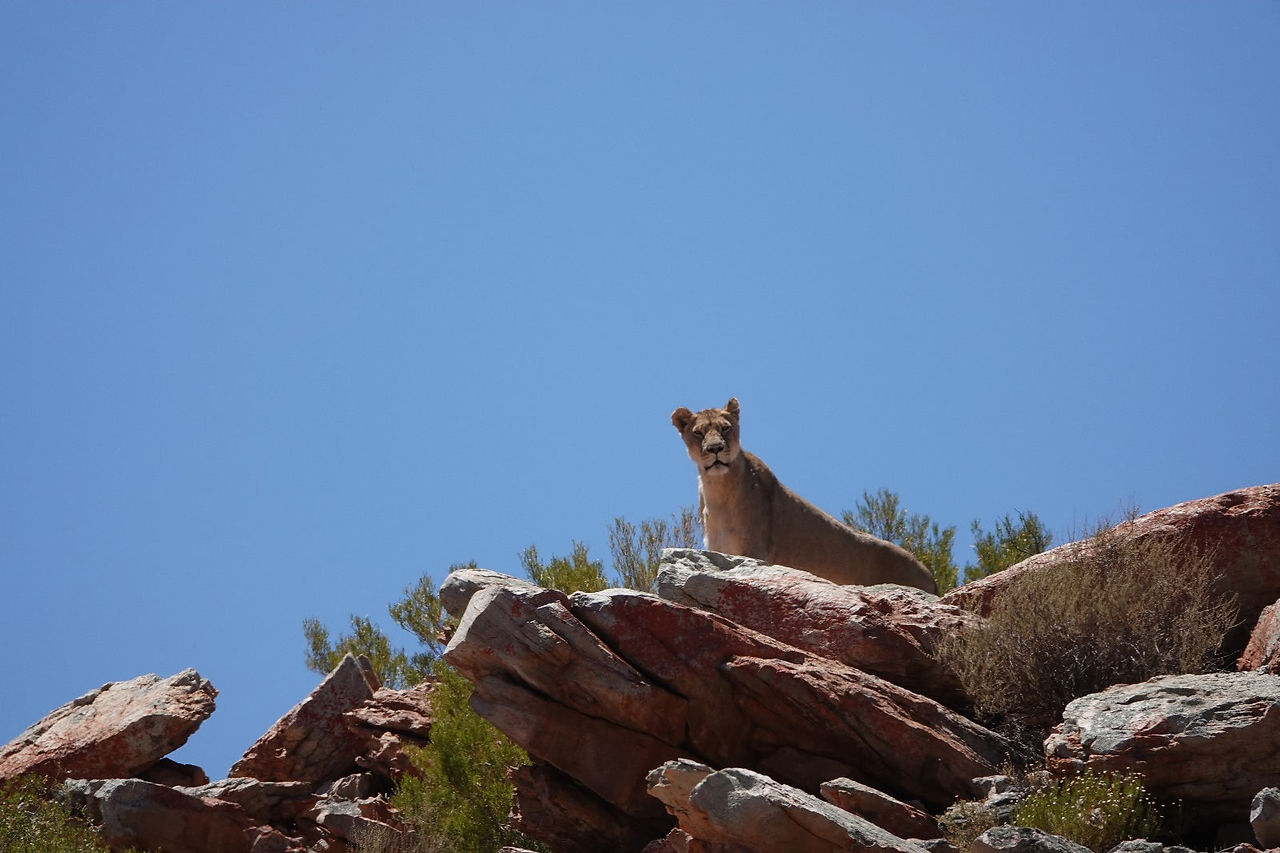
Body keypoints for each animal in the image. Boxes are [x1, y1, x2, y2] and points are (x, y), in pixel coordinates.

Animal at [671, 398, 937, 593]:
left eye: (725, 429)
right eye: (698, 433)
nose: (715, 449)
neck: (718, 490)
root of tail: (930, 575)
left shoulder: (754, 553)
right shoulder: (718, 548)